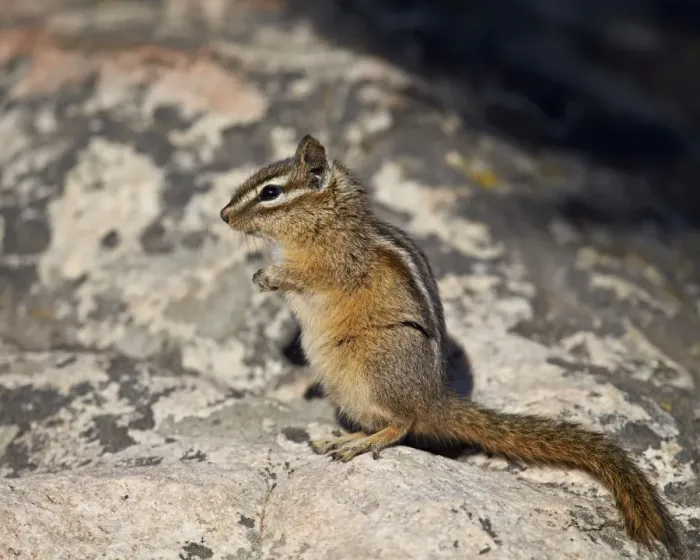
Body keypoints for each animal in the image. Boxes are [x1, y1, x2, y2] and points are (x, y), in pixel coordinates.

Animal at [220, 134, 685, 559]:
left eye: (270, 192)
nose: (223, 215)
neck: (327, 219)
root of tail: (435, 400)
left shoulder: (334, 263)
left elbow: (308, 275)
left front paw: (268, 276)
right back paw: (339, 437)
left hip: (373, 367)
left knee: (402, 425)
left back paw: (359, 443)